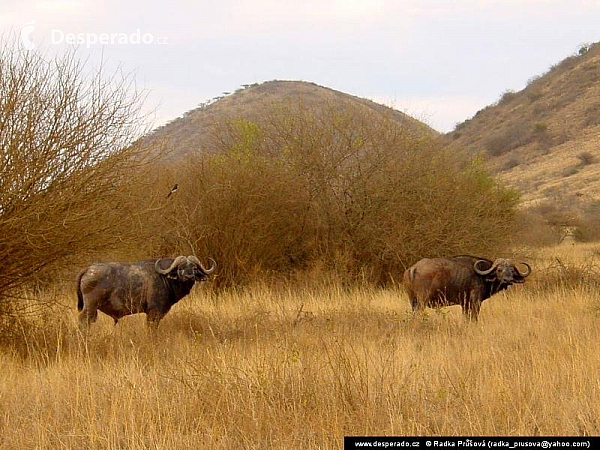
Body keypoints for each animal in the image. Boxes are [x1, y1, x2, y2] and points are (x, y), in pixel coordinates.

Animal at [75, 255, 216, 328]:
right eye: (180, 268)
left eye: (194, 268)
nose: (189, 276)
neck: (165, 278)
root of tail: (89, 269)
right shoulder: (154, 312)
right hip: (90, 306)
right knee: (83, 320)